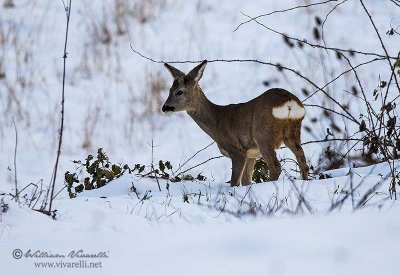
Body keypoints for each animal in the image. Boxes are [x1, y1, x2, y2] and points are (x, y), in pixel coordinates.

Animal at [162, 60, 310, 185]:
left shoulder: (237, 151)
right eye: (169, 90)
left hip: (263, 135)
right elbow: (246, 181)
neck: (217, 121)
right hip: (293, 132)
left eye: (179, 92)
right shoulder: (251, 154)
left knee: (276, 167)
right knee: (303, 163)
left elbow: (234, 182)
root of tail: (289, 102)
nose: (164, 107)